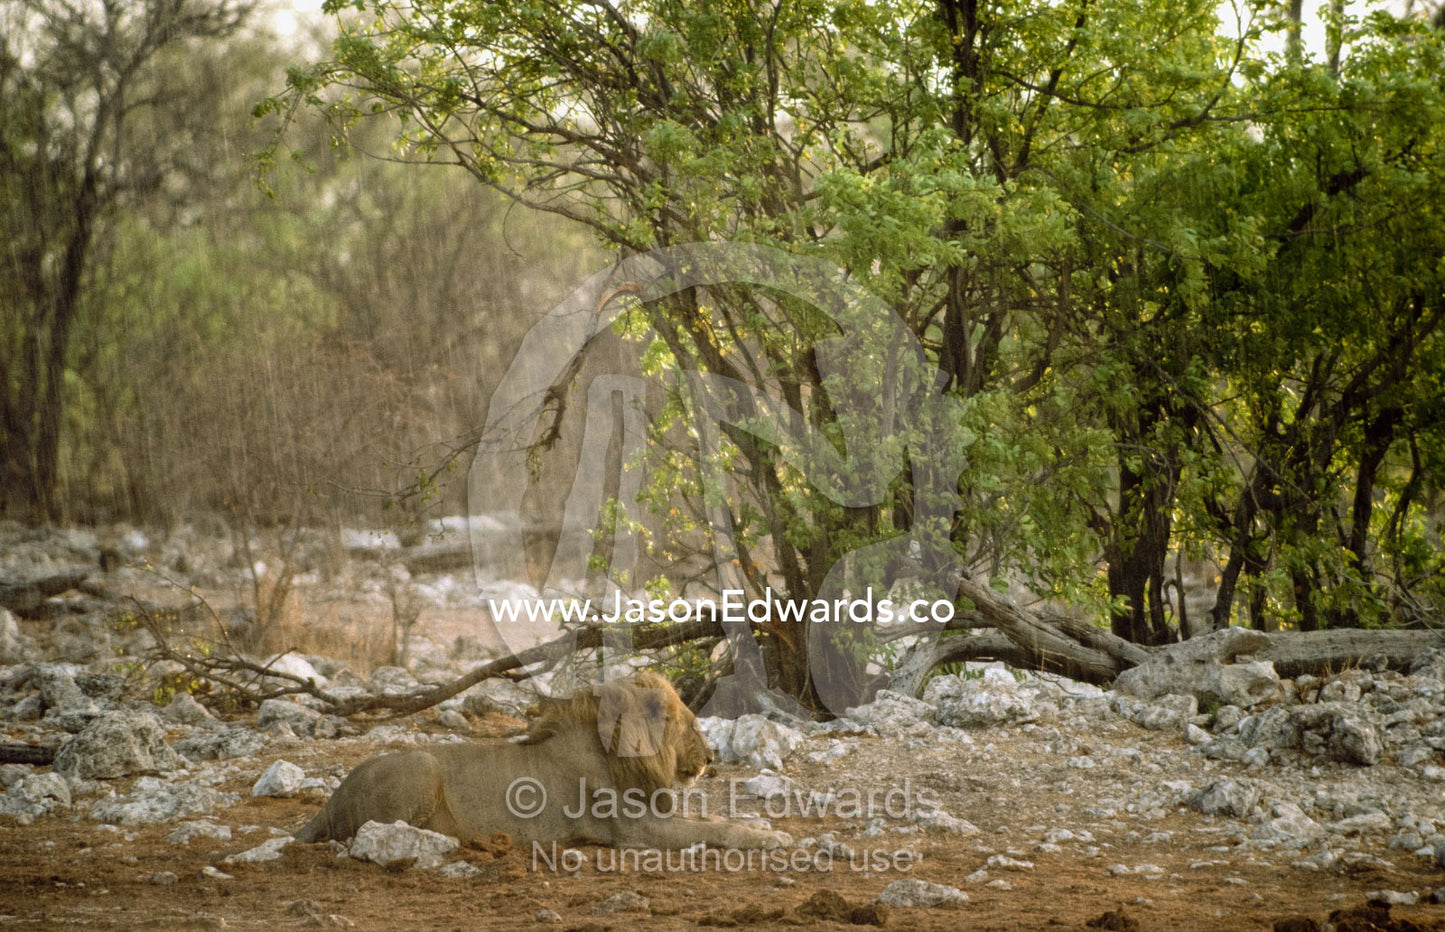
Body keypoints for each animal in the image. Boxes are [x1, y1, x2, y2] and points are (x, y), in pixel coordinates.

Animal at [295, 671, 791, 850]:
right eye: (684, 722)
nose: (711, 757)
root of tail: (328, 804)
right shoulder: (636, 831)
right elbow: (713, 829)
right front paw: (774, 840)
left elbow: (713, 820)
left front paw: (773, 830)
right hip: (421, 766)